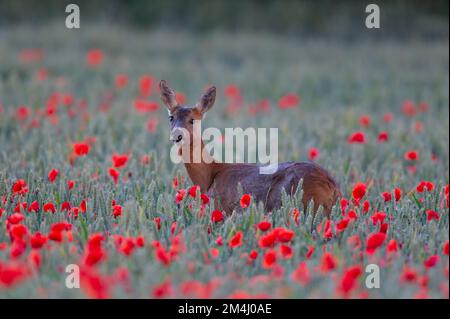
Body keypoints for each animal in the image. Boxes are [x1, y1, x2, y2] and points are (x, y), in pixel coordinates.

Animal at [160, 80, 342, 218]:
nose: (177, 135)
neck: (210, 175)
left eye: (192, 120)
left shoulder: (221, 208)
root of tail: (333, 187)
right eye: (171, 117)